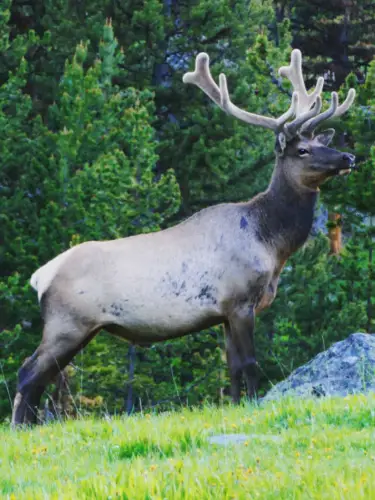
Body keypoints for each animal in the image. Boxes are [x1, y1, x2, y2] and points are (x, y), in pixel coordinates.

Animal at [12, 49, 358, 426]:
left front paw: (234, 405)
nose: (348, 156)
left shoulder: (223, 312)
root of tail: (39, 277)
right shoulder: (240, 301)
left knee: (39, 378)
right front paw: (252, 405)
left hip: (79, 328)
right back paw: (19, 427)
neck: (271, 243)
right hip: (67, 322)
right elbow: (250, 364)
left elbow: (232, 368)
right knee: (27, 373)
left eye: (318, 142)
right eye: (302, 151)